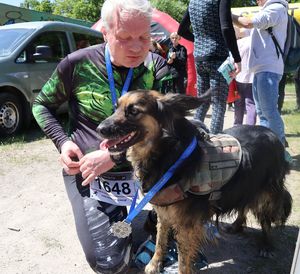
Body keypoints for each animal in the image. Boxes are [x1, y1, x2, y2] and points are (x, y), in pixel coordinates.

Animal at [97, 90, 292, 274]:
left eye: (134, 111)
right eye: (116, 108)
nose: (100, 129)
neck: (167, 153)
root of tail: (272, 134)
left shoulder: (186, 224)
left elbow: (183, 257)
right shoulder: (164, 212)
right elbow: (160, 239)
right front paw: (155, 263)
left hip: (266, 191)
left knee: (265, 217)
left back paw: (266, 245)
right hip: (245, 184)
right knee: (244, 204)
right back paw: (236, 226)